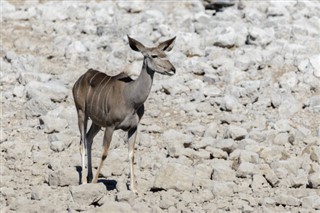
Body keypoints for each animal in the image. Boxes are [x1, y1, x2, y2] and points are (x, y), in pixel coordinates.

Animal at [72, 35, 176, 192]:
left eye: (165, 54)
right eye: (154, 55)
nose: (172, 69)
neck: (132, 99)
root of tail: (79, 81)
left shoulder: (133, 127)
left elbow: (131, 154)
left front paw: (134, 189)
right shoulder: (110, 126)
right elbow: (104, 153)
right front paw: (95, 182)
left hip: (97, 122)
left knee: (89, 138)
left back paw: (89, 177)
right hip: (81, 112)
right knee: (82, 142)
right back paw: (84, 181)